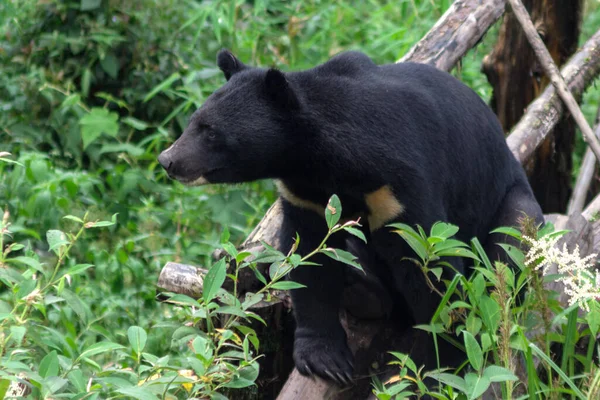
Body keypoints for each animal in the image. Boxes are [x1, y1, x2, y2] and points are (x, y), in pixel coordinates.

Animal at [158, 49, 544, 384]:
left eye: (211, 131)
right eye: (193, 122)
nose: (168, 160)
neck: (320, 161)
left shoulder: (399, 187)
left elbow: (431, 268)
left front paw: (438, 367)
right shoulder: (306, 196)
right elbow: (309, 257)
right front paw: (325, 361)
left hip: (514, 205)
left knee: (509, 250)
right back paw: (361, 292)